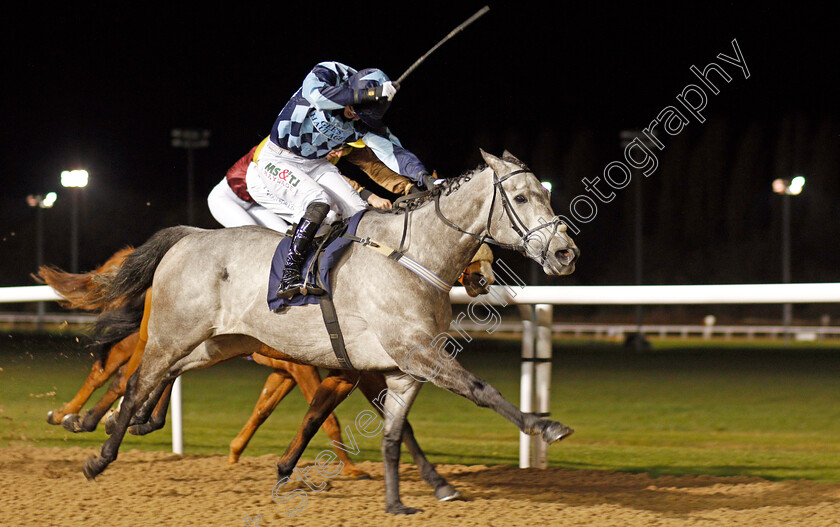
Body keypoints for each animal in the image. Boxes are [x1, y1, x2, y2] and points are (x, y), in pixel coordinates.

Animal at [83, 151, 576, 516]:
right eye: (521, 197)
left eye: (544, 193)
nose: (565, 252)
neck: (409, 256)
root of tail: (186, 237)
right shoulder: (410, 353)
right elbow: (478, 389)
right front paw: (545, 425)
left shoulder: (398, 366)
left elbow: (394, 432)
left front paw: (416, 495)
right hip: (172, 332)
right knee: (136, 379)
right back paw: (100, 449)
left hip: (216, 342)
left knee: (165, 374)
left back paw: (125, 422)